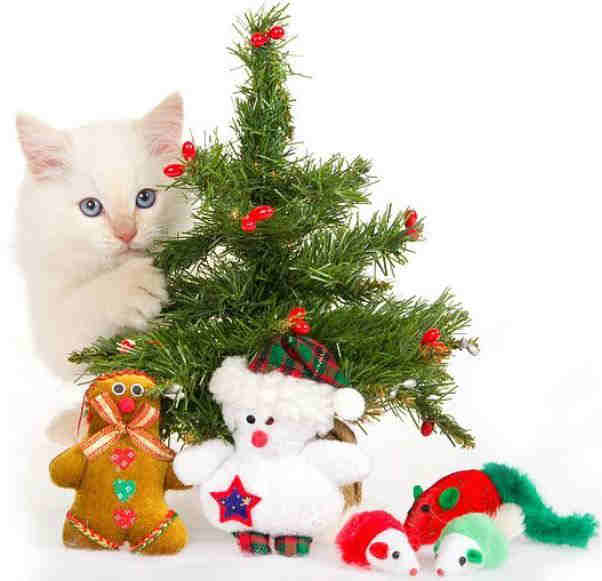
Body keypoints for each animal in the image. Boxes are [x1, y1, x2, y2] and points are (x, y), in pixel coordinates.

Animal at [15, 93, 190, 383]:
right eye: (91, 207)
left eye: (145, 198)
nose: (126, 233)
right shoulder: (52, 331)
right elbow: (83, 304)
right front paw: (134, 287)